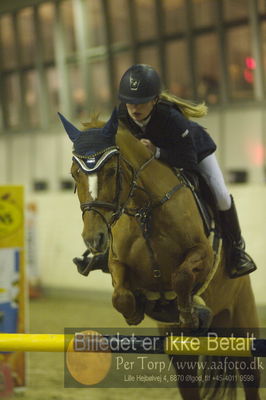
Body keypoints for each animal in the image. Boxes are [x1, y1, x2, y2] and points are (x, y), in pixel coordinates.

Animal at [59, 110, 260, 400]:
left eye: (111, 171)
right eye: (75, 174)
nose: (93, 239)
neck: (145, 209)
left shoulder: (203, 253)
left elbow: (181, 276)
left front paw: (191, 314)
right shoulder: (117, 262)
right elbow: (121, 295)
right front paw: (136, 311)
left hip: (242, 326)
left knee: (250, 375)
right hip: (183, 355)